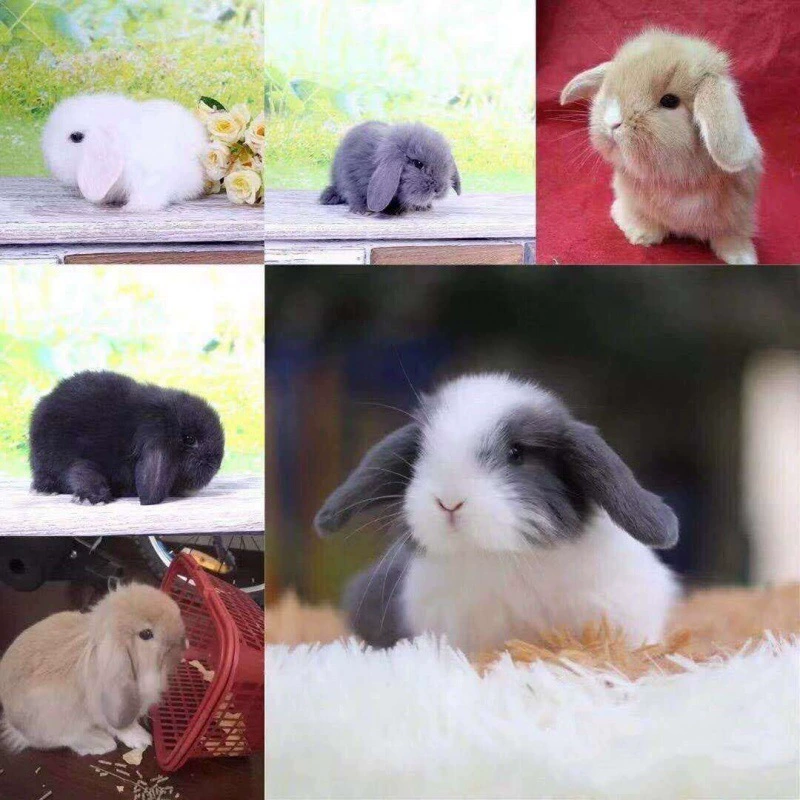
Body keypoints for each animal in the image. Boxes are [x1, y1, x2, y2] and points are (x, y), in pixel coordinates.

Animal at [0, 583, 186, 756]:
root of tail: (13, 724)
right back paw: (100, 742)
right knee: (65, 738)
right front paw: (143, 739)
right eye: (146, 634)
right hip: (57, 722)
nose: (183, 642)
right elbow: (121, 727)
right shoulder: (105, 709)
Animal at [29, 370, 224, 506]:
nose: (215, 464)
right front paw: (94, 499)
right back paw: (45, 490)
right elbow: (82, 473)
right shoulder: (83, 456)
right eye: (190, 439)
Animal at [320, 121, 462, 214]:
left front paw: (424, 207)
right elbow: (354, 194)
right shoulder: (351, 177)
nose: (439, 189)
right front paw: (362, 211)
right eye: (418, 164)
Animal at [560, 29, 762, 265]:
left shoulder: (738, 212)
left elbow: (731, 234)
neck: (675, 180)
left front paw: (743, 257)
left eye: (670, 101)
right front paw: (641, 235)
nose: (612, 121)